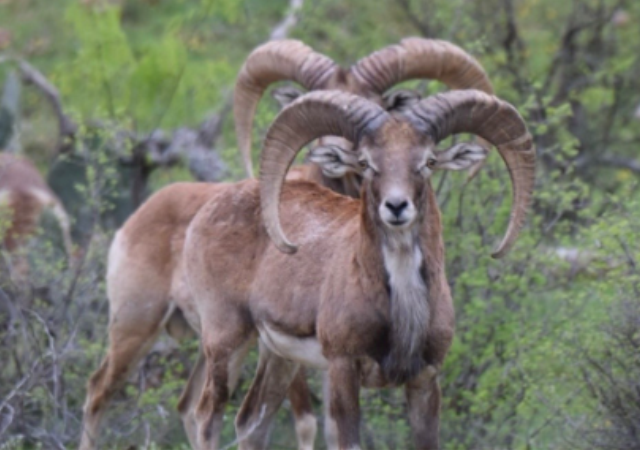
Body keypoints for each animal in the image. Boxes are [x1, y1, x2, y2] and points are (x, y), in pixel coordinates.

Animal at [183, 89, 535, 449]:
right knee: (207, 416)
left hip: (278, 358)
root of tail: (209, 210)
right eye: (366, 162)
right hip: (226, 339)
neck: (403, 302)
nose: (396, 206)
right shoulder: (343, 368)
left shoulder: (425, 380)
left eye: (428, 162)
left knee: (251, 422)